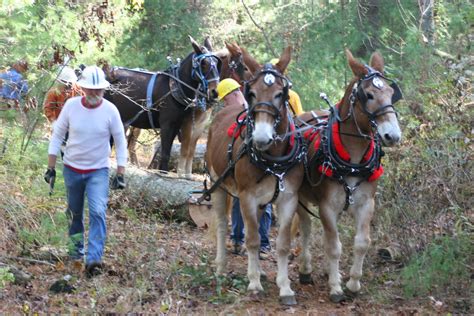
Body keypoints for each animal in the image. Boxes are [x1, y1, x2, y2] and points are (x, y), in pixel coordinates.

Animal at [177, 41, 252, 178]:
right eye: (245, 67)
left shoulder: (201, 124)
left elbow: (191, 149)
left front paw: (188, 173)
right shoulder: (188, 123)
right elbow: (185, 147)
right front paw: (180, 173)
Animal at [206, 45, 306, 304]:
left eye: (281, 93)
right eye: (251, 93)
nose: (261, 138)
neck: (274, 159)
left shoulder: (288, 198)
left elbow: (282, 244)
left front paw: (285, 287)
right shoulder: (247, 197)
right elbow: (251, 240)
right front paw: (253, 284)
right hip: (218, 186)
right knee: (222, 224)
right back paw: (221, 266)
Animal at [296, 49, 404, 302]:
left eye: (391, 93)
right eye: (368, 95)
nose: (393, 135)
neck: (353, 161)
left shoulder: (366, 203)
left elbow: (362, 243)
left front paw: (353, 284)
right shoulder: (327, 205)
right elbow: (334, 246)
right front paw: (336, 288)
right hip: (299, 198)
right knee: (306, 229)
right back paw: (306, 269)